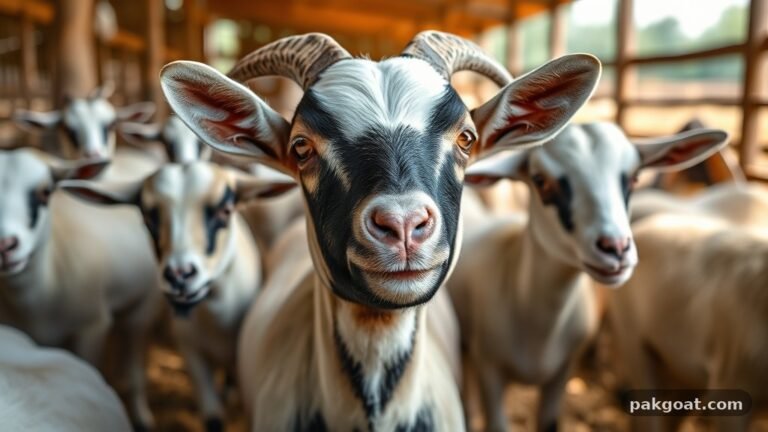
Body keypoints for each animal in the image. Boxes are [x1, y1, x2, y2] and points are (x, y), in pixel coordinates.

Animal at [62, 161, 296, 431]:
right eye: (146, 216)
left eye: (226, 210)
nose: (178, 275)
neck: (217, 322)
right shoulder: (191, 352)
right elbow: (213, 418)